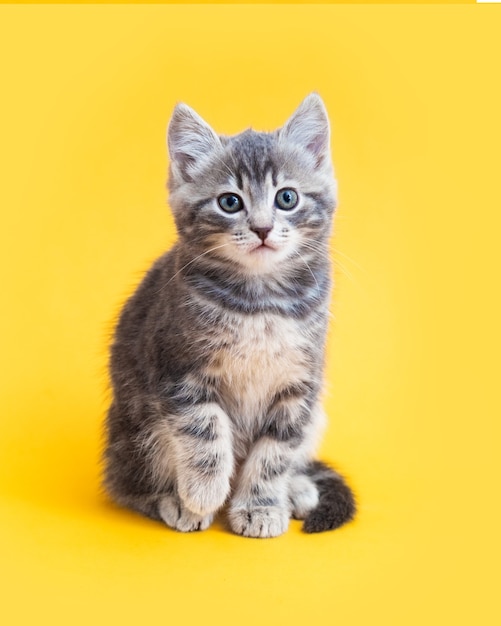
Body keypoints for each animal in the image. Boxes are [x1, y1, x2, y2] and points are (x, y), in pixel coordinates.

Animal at [104, 94, 356, 536]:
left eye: (286, 198)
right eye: (229, 202)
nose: (262, 228)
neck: (261, 301)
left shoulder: (298, 384)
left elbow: (274, 453)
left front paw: (260, 506)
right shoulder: (178, 368)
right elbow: (205, 429)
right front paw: (204, 493)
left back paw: (298, 488)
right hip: (135, 426)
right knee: (126, 484)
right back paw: (175, 501)